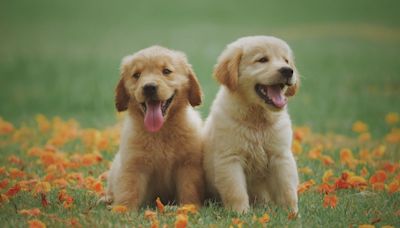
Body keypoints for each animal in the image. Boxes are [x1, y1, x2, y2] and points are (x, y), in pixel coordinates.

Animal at [104, 45, 205, 209]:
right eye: (136, 75)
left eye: (166, 71)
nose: (149, 87)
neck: (160, 132)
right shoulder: (133, 165)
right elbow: (128, 189)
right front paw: (122, 210)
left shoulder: (188, 165)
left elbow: (189, 189)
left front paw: (189, 207)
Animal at [203, 35, 300, 214]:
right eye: (262, 60)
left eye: (286, 60)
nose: (288, 70)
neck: (257, 120)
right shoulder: (230, 159)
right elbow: (236, 190)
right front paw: (240, 213)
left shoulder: (281, 156)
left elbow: (287, 188)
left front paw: (292, 213)